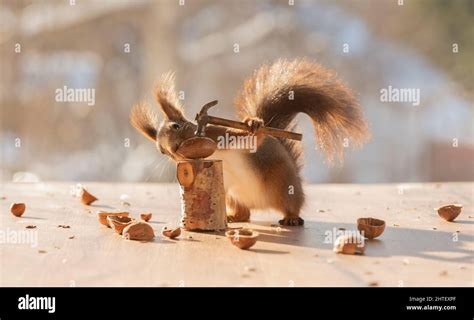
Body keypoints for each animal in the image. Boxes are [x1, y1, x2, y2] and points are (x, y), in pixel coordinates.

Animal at [131, 58, 370, 226]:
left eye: (176, 127)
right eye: (162, 152)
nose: (175, 150)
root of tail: (261, 203)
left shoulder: (221, 134)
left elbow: (250, 140)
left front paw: (253, 124)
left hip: (283, 182)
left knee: (293, 204)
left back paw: (291, 218)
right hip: (232, 195)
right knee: (245, 213)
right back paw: (234, 217)